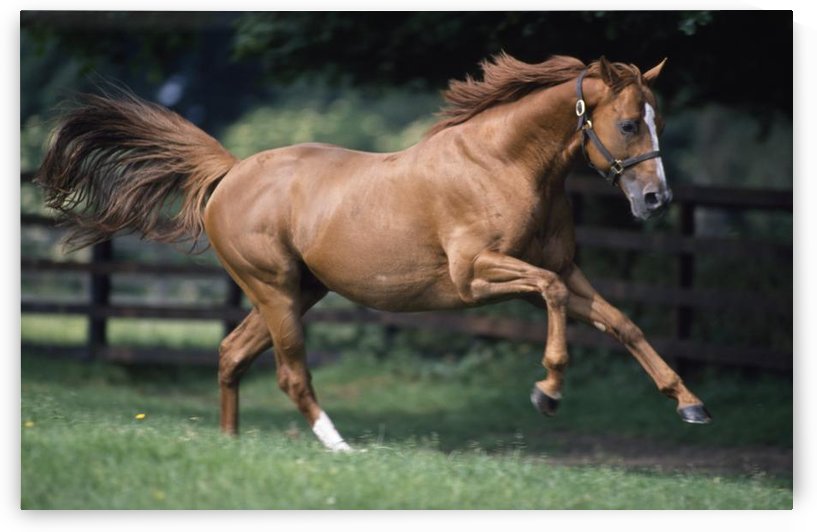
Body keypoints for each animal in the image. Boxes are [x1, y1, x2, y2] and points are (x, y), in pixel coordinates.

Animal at [36, 54, 711, 452]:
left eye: (658, 120)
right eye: (629, 124)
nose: (656, 199)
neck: (504, 164)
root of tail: (231, 173)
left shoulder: (567, 267)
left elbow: (622, 322)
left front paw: (690, 405)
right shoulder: (477, 277)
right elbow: (549, 296)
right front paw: (547, 391)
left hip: (300, 291)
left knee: (231, 353)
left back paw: (231, 445)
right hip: (275, 290)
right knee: (290, 372)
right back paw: (339, 447)